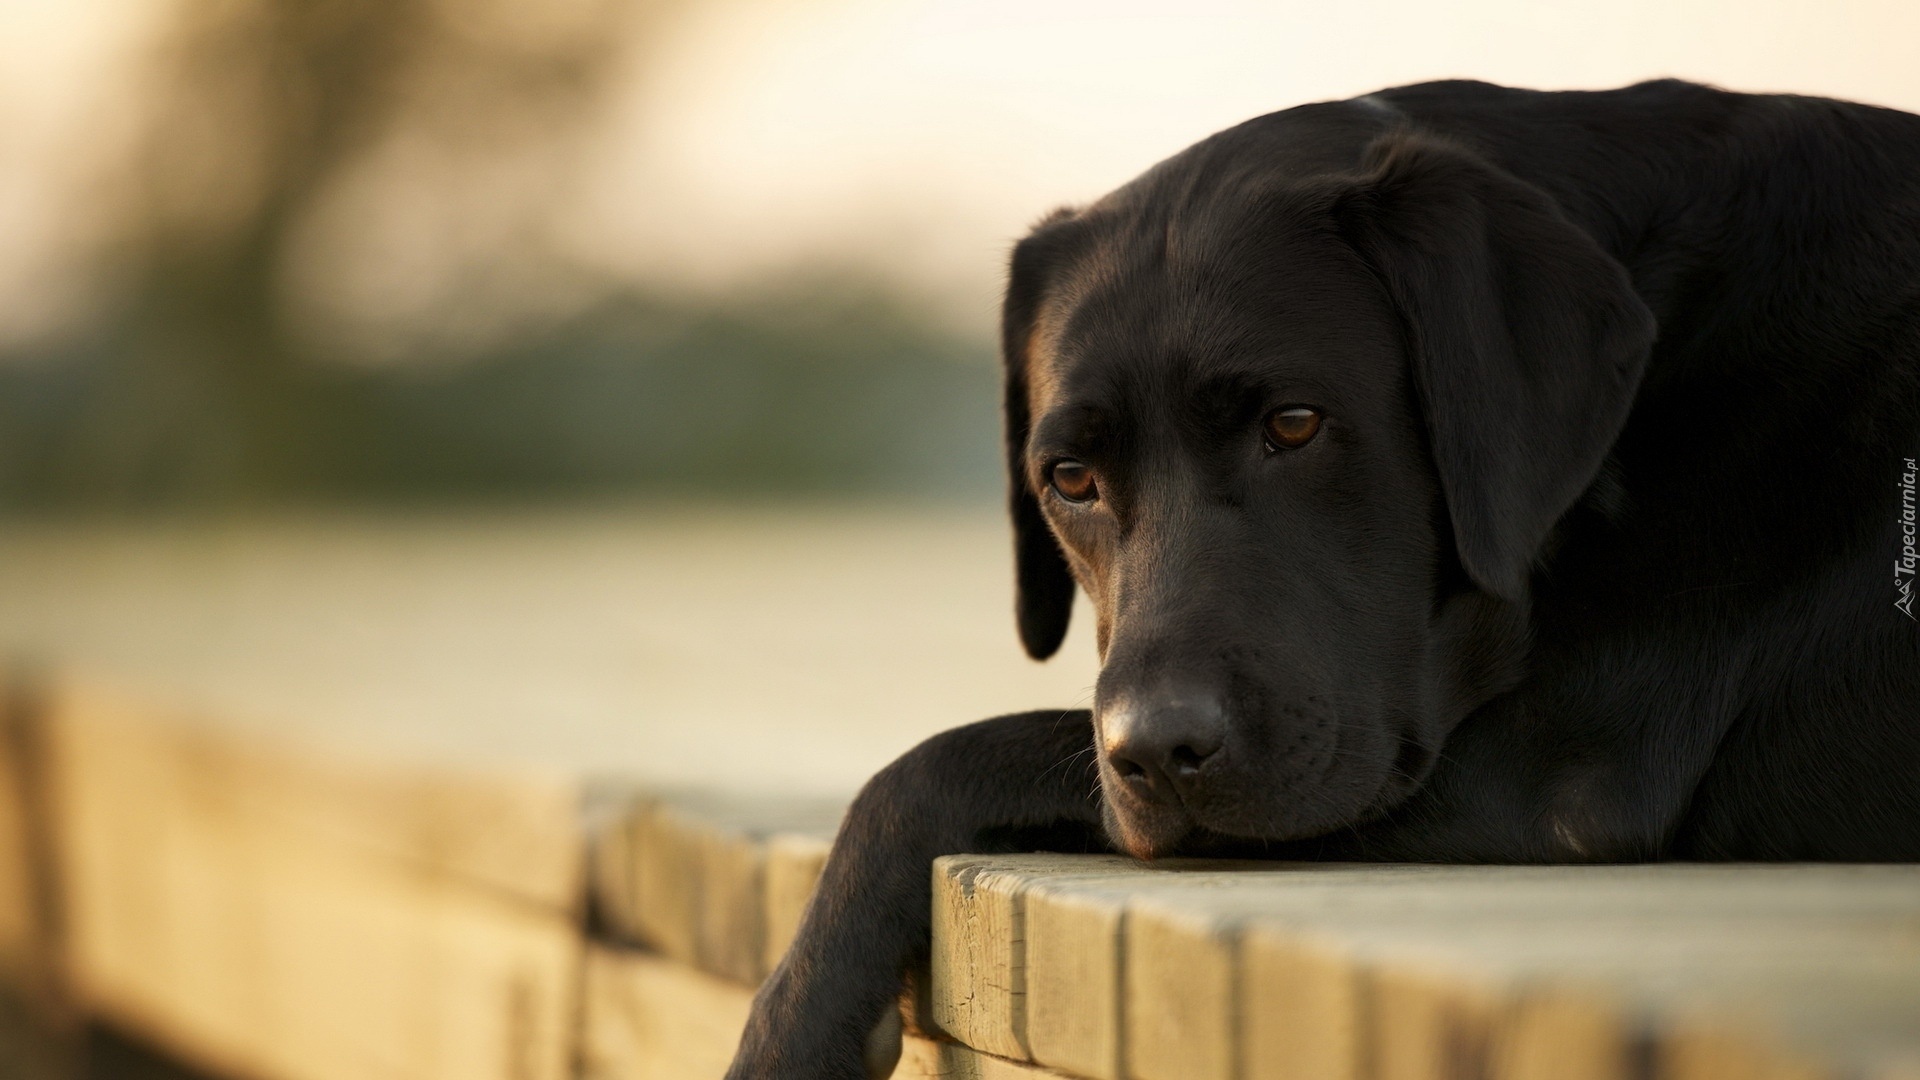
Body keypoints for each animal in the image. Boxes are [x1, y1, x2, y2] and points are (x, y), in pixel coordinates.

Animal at [721, 79, 1920, 1068]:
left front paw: (796, 1028)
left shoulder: (1552, 772)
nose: (1155, 750)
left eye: (1294, 424)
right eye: (1070, 477)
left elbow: (933, 759)